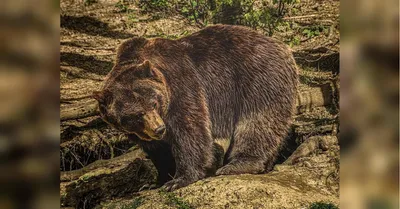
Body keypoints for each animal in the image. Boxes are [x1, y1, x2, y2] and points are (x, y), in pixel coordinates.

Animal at [93, 24, 296, 191]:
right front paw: (155, 181)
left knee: (258, 122)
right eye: (135, 115)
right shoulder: (140, 132)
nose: (159, 129)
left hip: (259, 78)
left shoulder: (181, 85)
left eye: (154, 103)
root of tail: (283, 46)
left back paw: (237, 164)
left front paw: (179, 179)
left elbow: (189, 131)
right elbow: (158, 151)